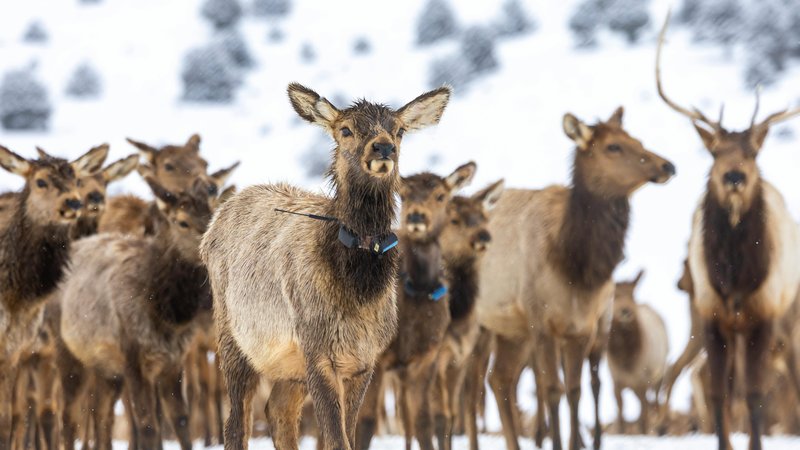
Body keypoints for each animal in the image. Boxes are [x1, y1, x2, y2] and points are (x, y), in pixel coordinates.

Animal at [200, 83, 452, 450]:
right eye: (345, 129)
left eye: (399, 130)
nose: (383, 147)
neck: (358, 289)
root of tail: (214, 221)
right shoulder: (318, 350)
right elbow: (336, 439)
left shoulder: (364, 361)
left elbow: (350, 433)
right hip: (234, 338)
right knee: (236, 422)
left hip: (289, 363)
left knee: (278, 411)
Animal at [355, 162, 477, 450]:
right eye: (405, 194)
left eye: (441, 196)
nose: (416, 217)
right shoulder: (377, 357)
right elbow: (366, 423)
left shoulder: (426, 360)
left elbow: (424, 421)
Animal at [432, 179, 504, 450]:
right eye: (454, 220)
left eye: (484, 217)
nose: (484, 236)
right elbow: (439, 415)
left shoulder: (461, 357)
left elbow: (453, 414)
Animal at [607, 270, 669, 435]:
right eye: (614, 295)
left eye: (632, 295)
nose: (626, 311)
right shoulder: (616, 380)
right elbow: (620, 411)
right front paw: (621, 431)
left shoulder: (642, 380)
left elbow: (643, 414)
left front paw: (643, 431)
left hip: (659, 374)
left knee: (655, 400)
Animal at [656, 12, 800, 450]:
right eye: (715, 151)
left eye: (752, 152)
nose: (734, 176)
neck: (735, 275)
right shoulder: (711, 317)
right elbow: (720, 391)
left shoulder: (764, 317)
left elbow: (755, 391)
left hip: (789, 322)